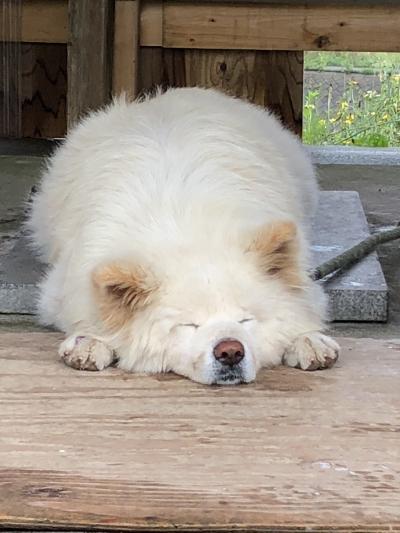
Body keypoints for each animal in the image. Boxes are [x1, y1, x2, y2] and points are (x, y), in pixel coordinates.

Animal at [28, 89, 340, 384]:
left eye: (245, 319)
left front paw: (308, 339)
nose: (230, 351)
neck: (188, 233)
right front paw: (89, 341)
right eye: (190, 325)